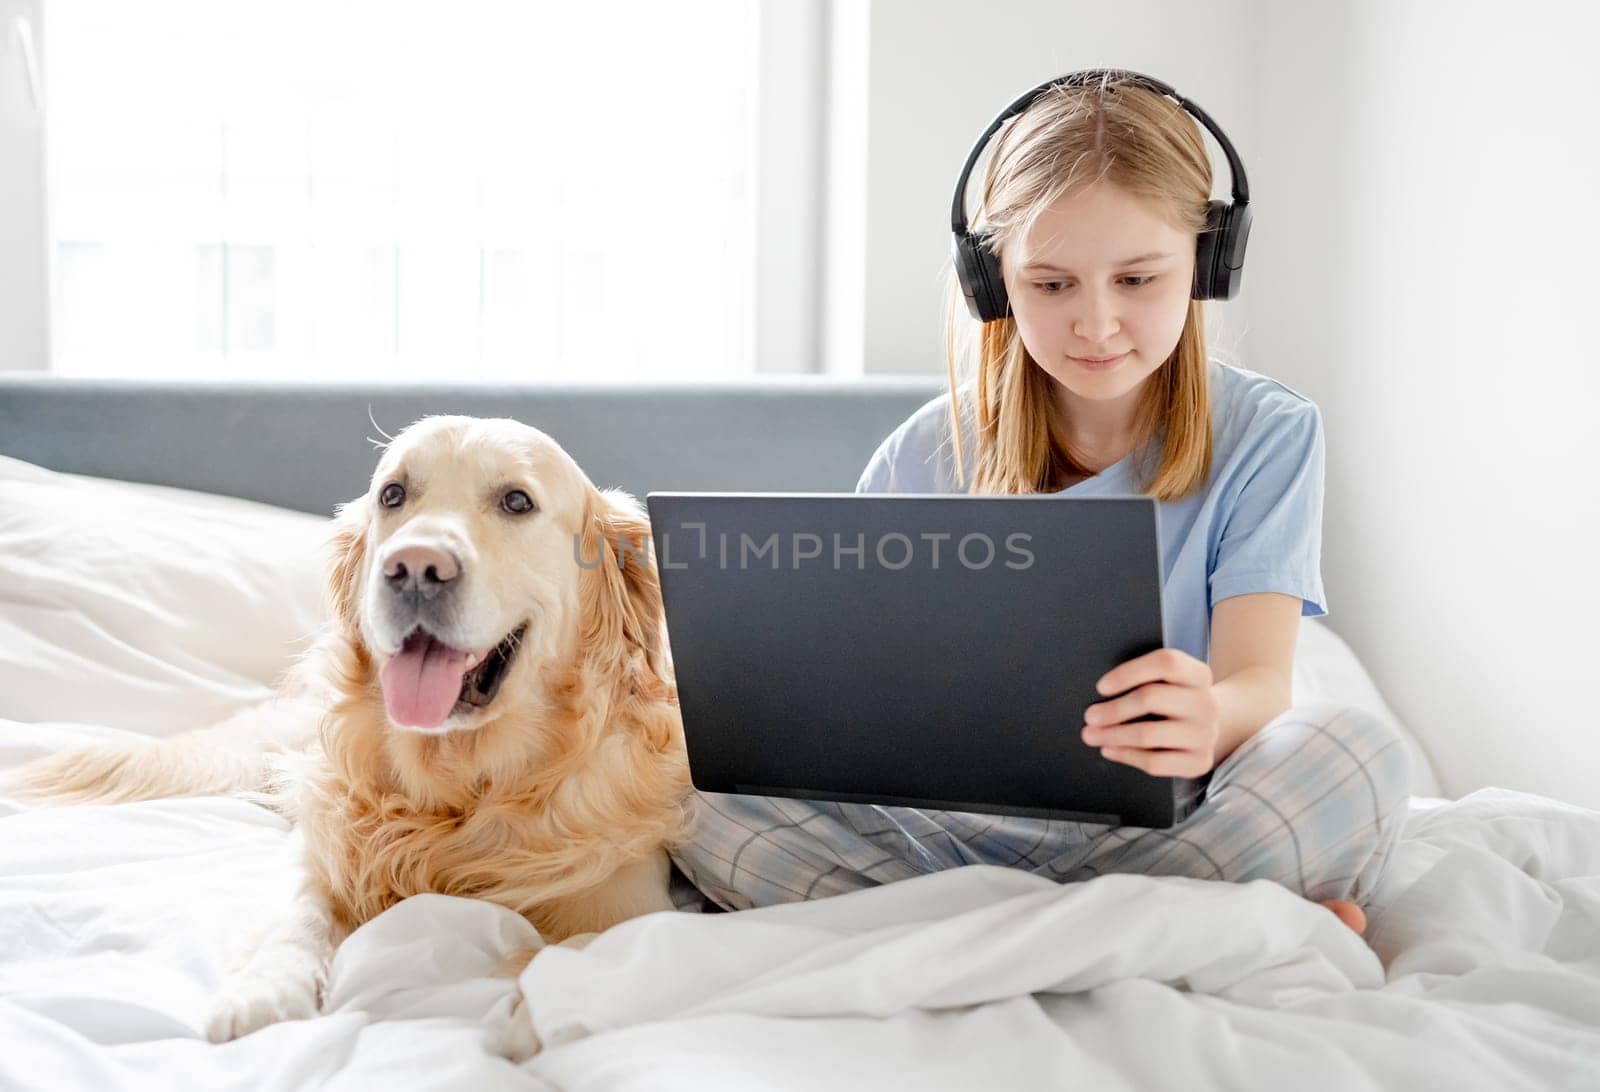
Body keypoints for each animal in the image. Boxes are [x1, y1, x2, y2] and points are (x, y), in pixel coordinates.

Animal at [9, 413, 694, 1050]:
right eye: (393, 494)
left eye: (517, 502)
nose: (415, 566)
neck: (461, 790)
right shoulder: (323, 849)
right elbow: (299, 913)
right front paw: (265, 988)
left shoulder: (633, 903)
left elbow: (572, 949)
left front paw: (523, 1012)